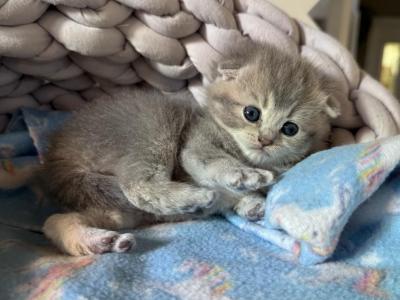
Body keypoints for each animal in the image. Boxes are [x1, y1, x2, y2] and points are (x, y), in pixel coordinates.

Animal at [41, 44, 340, 255]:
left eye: (290, 129)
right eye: (251, 113)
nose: (265, 140)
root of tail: (56, 156)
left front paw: (252, 203)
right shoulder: (196, 144)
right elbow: (216, 163)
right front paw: (246, 177)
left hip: (112, 208)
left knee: (54, 221)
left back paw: (101, 241)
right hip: (153, 126)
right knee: (138, 186)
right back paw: (196, 197)